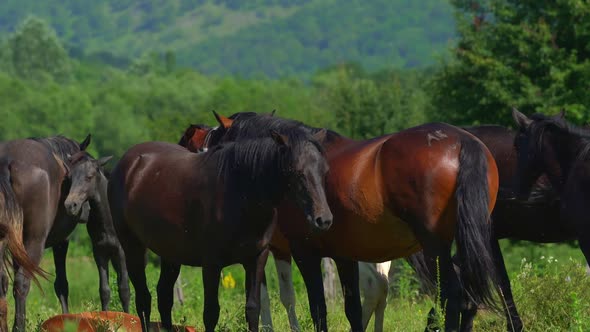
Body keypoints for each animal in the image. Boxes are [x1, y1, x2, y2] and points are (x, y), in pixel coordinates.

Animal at [108, 115, 332, 332]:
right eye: (296, 171)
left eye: (324, 170)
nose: (324, 219)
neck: (241, 193)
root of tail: (128, 162)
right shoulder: (211, 264)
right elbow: (211, 313)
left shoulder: (256, 258)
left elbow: (253, 308)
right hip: (133, 247)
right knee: (143, 299)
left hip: (170, 254)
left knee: (164, 296)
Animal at [188, 112, 500, 332]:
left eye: (210, 146)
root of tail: (462, 142)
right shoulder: (341, 255)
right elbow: (350, 309)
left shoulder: (302, 252)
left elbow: (313, 307)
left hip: (433, 245)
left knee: (451, 295)